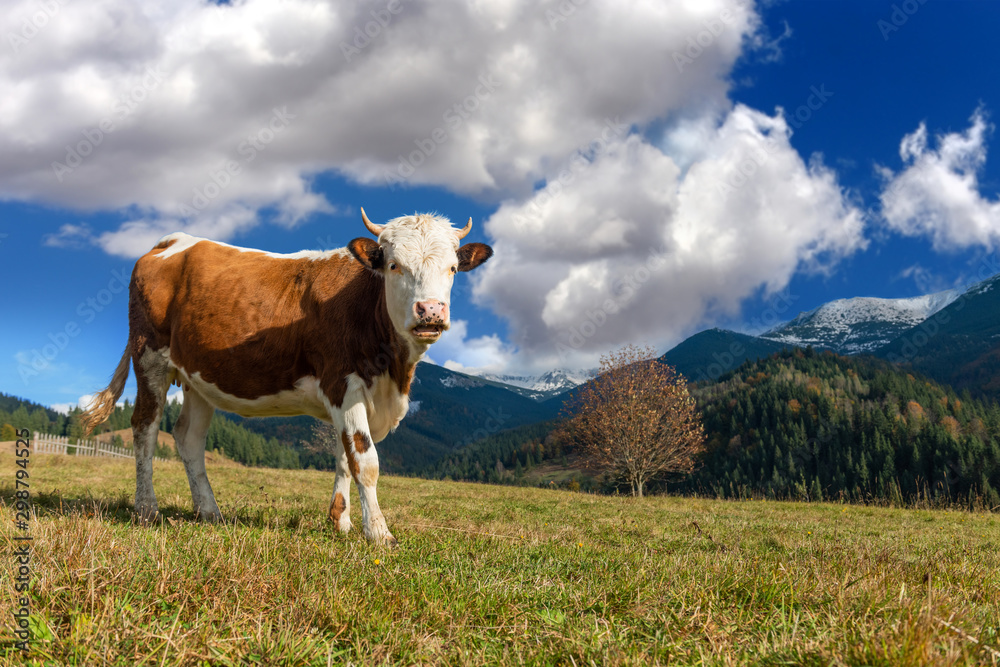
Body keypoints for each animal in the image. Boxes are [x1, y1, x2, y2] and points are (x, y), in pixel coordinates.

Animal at [81, 211, 492, 544]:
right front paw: (378, 532)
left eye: (452, 269)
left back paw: (209, 512)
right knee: (145, 428)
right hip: (150, 355)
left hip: (199, 374)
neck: (393, 373)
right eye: (393, 265)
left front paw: (340, 522)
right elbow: (365, 460)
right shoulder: (343, 382)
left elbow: (344, 457)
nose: (431, 311)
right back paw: (147, 509)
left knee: (188, 438)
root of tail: (173, 242)